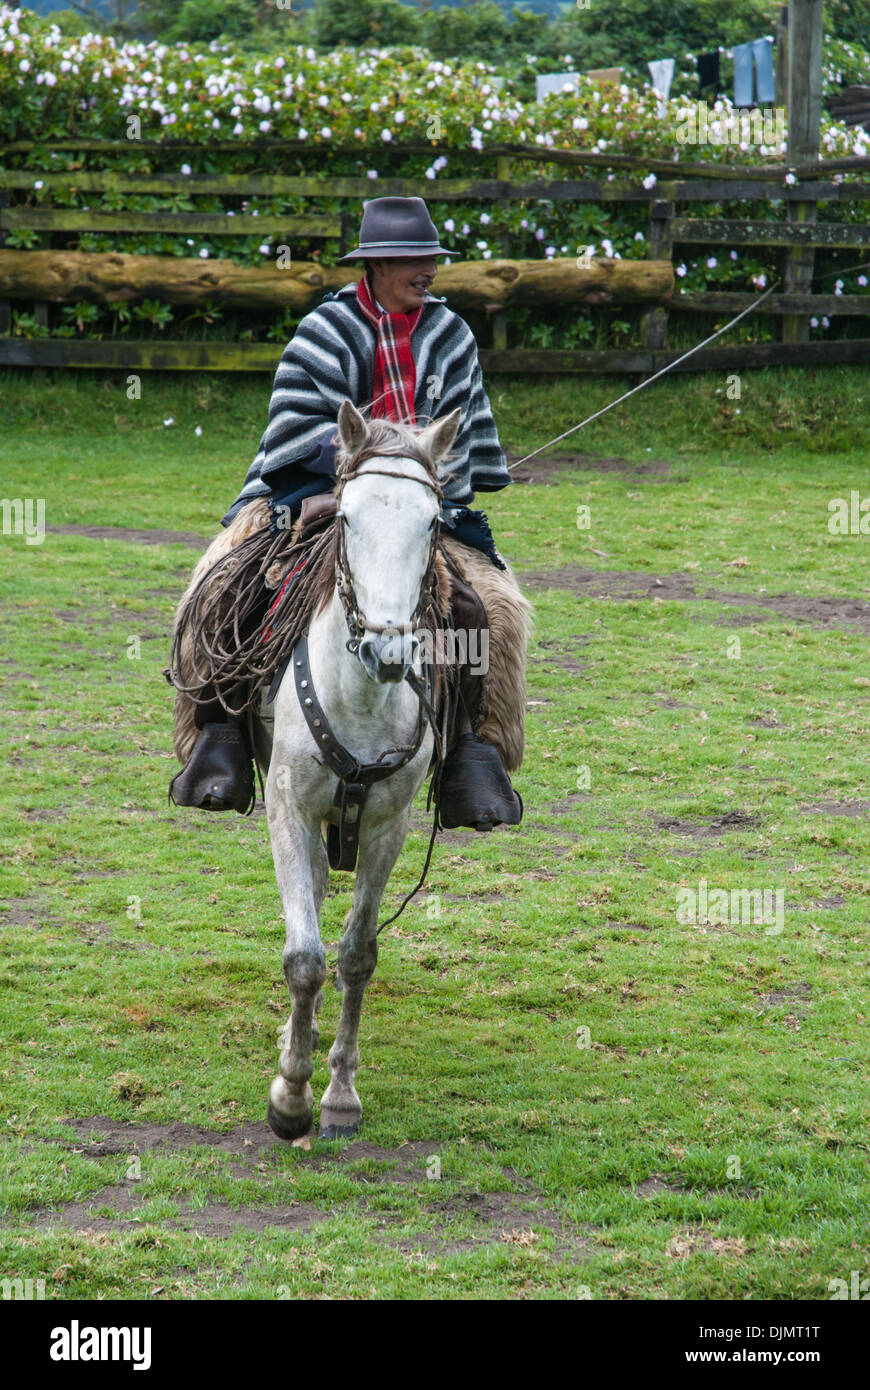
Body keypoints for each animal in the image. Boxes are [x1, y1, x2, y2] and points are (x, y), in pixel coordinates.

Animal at [262, 403, 461, 1139]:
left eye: (432, 522)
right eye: (346, 517)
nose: (386, 651)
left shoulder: (387, 827)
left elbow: (354, 955)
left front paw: (339, 1093)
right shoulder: (288, 808)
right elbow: (304, 957)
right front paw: (290, 1096)